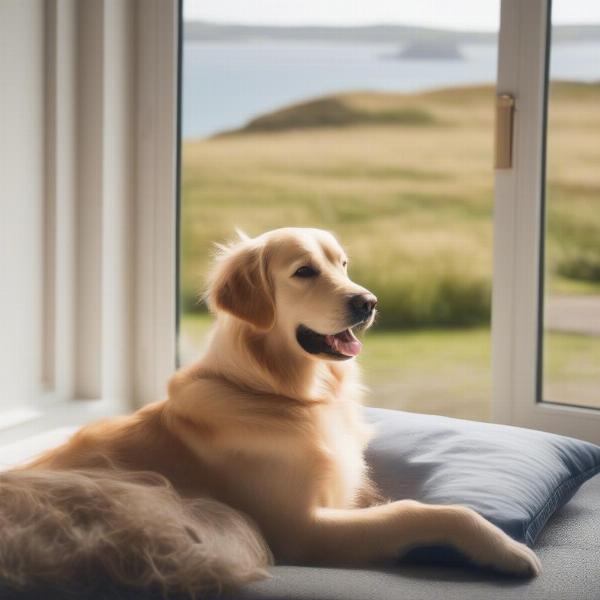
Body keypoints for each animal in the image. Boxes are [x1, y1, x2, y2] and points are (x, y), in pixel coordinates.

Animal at [0, 229, 540, 596]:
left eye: (343, 264)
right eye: (304, 271)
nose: (368, 301)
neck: (281, 393)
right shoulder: (302, 530)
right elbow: (420, 510)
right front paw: (508, 549)